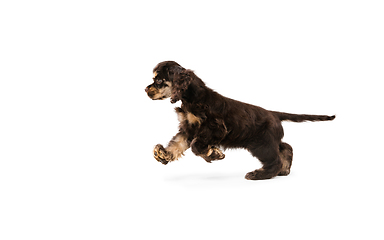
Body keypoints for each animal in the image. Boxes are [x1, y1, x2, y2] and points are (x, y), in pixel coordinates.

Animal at [146, 61, 334, 179]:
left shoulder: (215, 128)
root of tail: (273, 114)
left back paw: (259, 174)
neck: (192, 97)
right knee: (286, 147)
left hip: (261, 144)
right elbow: (178, 144)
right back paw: (285, 169)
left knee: (275, 160)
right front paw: (163, 154)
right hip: (266, 141)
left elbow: (196, 146)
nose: (146, 90)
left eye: (159, 80)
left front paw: (213, 154)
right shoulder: (188, 128)